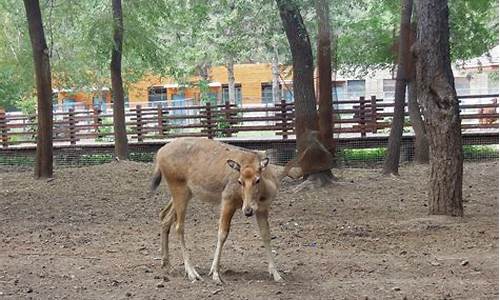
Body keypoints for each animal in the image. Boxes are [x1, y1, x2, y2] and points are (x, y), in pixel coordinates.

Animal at [148, 138, 296, 284]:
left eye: (257, 180)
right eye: (240, 181)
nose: (247, 210)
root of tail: (159, 154)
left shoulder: (262, 209)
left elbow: (266, 235)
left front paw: (276, 274)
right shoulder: (227, 199)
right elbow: (222, 233)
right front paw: (215, 273)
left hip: (186, 193)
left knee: (164, 216)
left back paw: (167, 265)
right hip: (179, 188)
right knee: (179, 226)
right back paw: (192, 273)